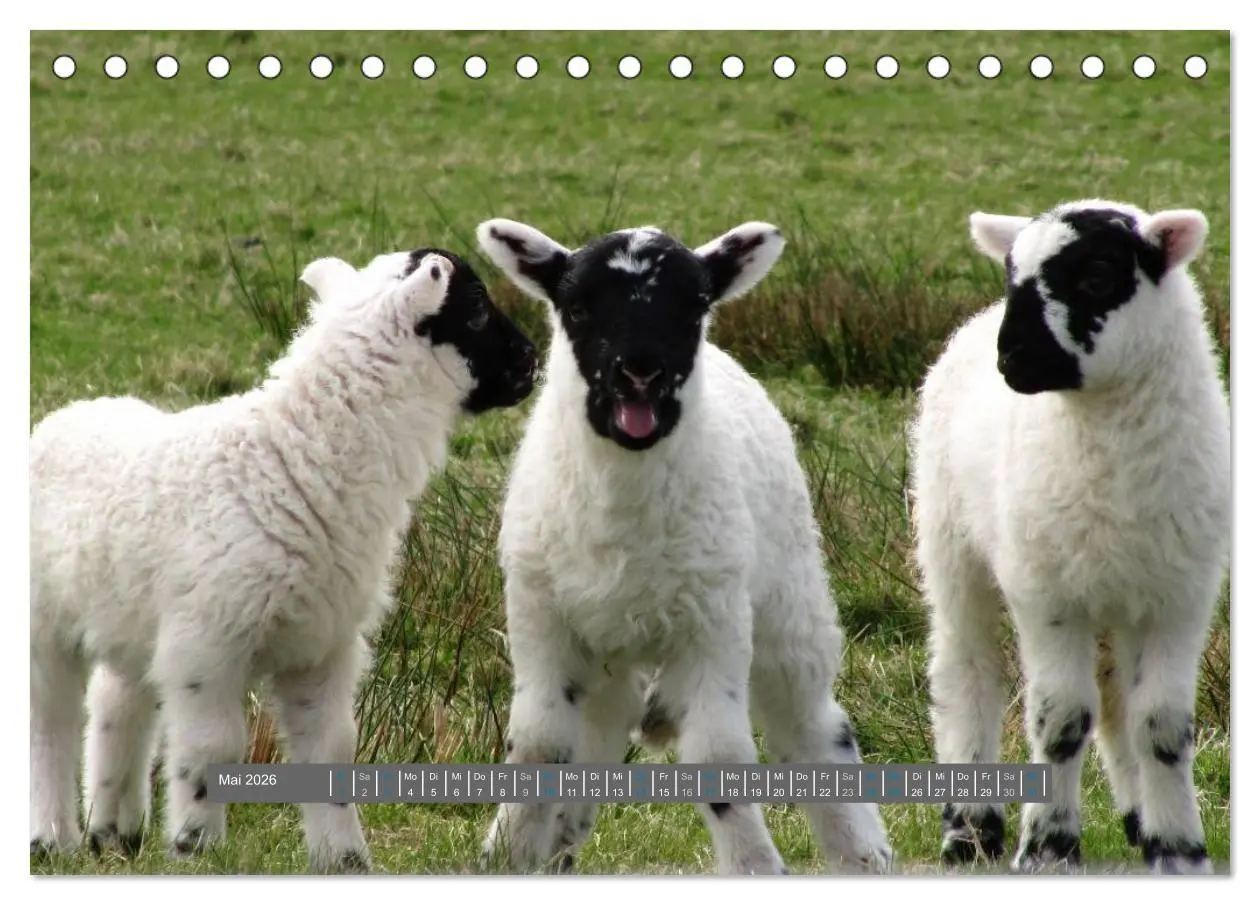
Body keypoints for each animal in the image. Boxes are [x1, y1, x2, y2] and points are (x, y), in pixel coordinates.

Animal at [29, 247, 538, 871]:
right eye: (476, 311)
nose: (533, 360)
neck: (296, 455)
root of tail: (69, 413)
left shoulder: (322, 645)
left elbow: (333, 748)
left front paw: (346, 859)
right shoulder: (207, 643)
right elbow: (212, 748)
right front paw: (197, 848)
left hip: (131, 618)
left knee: (116, 702)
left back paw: (113, 832)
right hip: (44, 623)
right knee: (48, 722)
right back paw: (52, 837)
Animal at [473, 217, 894, 876]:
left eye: (694, 304)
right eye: (577, 305)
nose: (640, 370)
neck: (622, 510)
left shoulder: (712, 623)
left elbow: (717, 756)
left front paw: (755, 868)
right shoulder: (541, 616)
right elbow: (540, 744)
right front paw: (508, 856)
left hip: (787, 600)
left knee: (811, 723)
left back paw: (863, 855)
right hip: (609, 650)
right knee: (598, 729)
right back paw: (561, 839)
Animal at [907, 199, 1230, 874]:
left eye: (1099, 276)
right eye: (1012, 276)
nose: (1014, 358)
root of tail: (974, 324)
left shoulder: (1180, 599)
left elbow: (1162, 725)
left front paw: (1179, 849)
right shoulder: (1048, 597)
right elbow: (1060, 722)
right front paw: (1049, 848)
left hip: (1116, 593)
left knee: (1115, 701)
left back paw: (1137, 821)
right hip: (952, 546)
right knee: (967, 671)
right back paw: (970, 831)